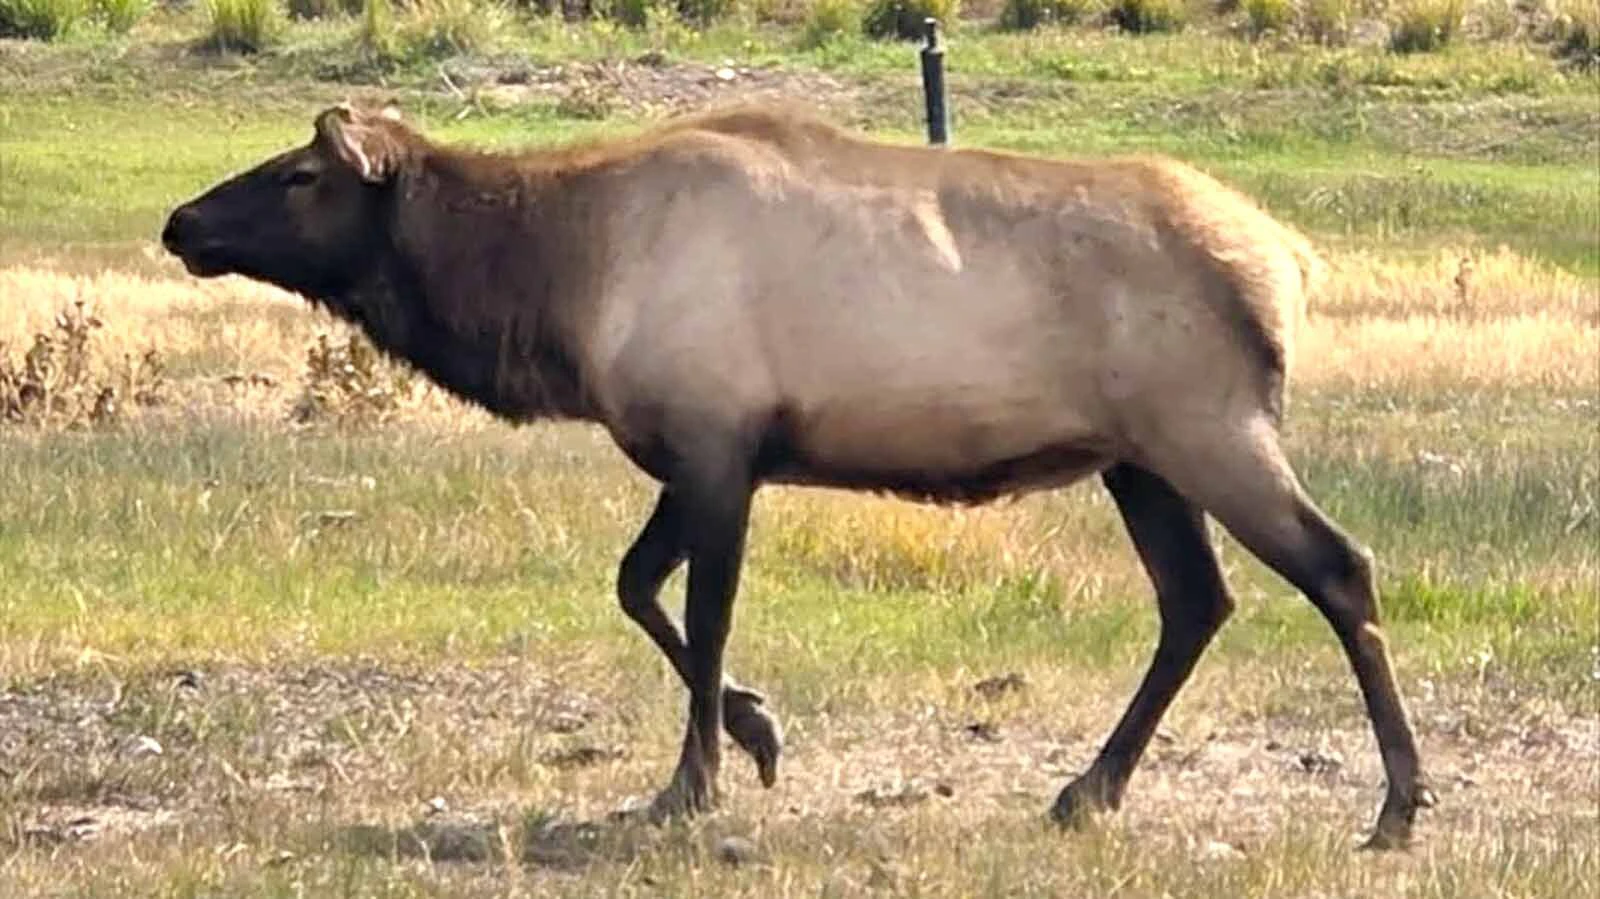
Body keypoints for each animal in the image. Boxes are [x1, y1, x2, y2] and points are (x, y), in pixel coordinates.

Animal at [160, 101, 1434, 849]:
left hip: (1207, 427)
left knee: (1340, 569)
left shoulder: (718, 445)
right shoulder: (703, 452)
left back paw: (1396, 803)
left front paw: (695, 780)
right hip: (1141, 459)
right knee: (1195, 600)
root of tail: (1290, 260)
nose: (180, 220)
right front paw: (759, 732)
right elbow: (638, 586)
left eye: (298, 175)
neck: (561, 289)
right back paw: (1087, 788)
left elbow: (697, 610)